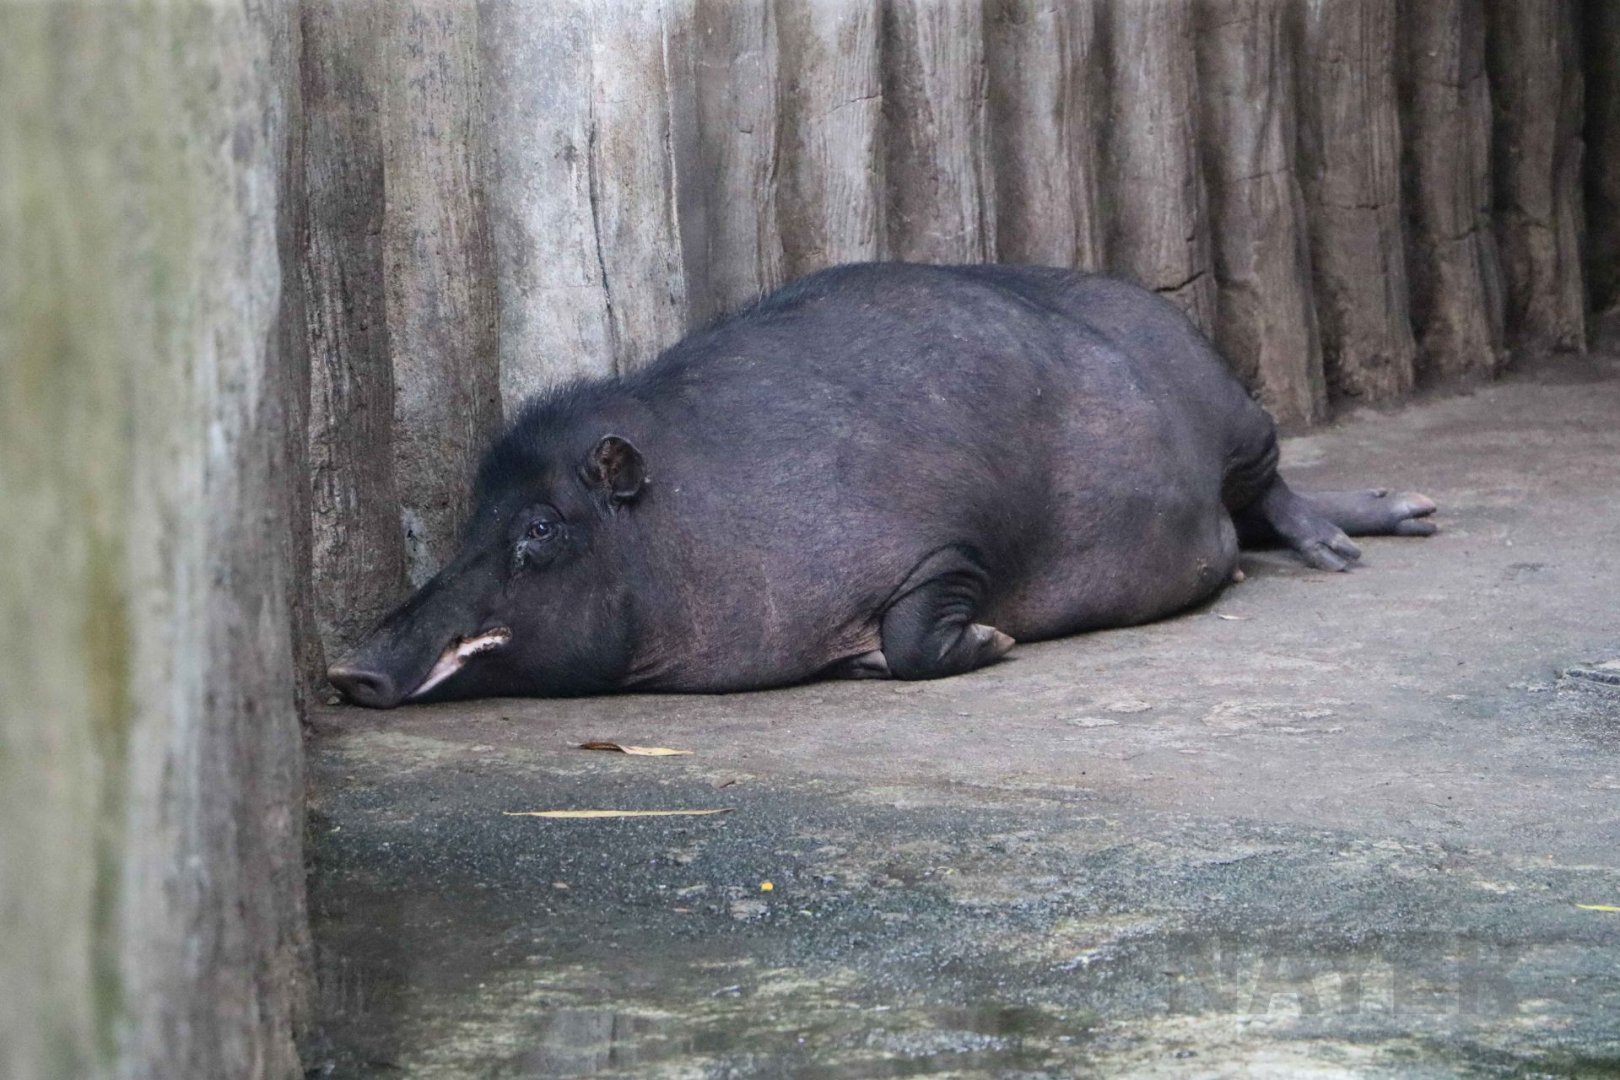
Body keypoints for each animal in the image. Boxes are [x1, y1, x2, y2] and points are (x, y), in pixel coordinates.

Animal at [328, 263, 1436, 707]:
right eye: (471, 515)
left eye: (542, 527)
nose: (346, 666)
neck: (692, 515)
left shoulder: (947, 544)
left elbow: (919, 631)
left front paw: (987, 641)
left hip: (1235, 409)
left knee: (1273, 492)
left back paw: (1365, 540)